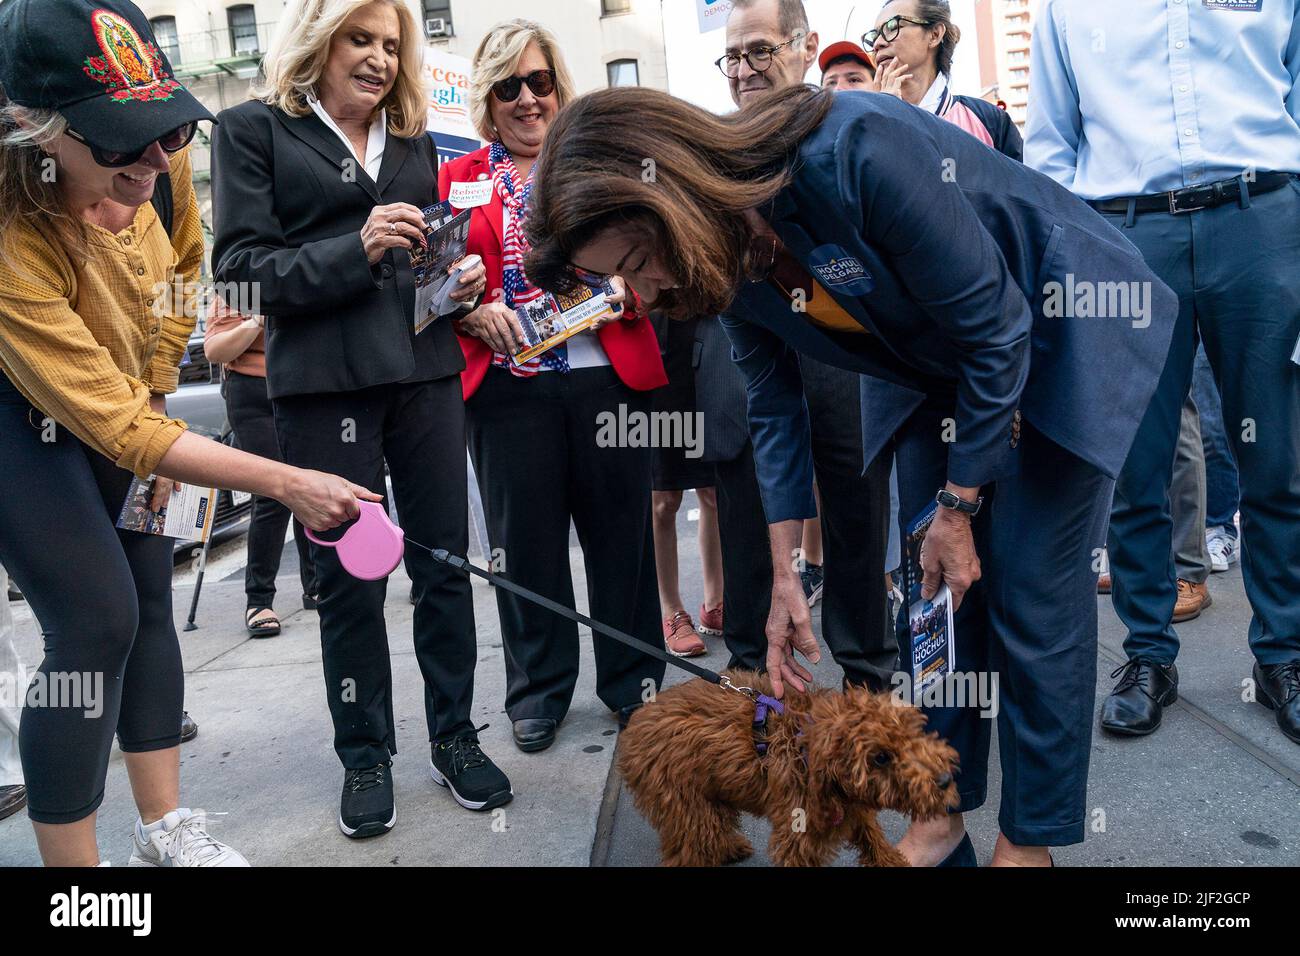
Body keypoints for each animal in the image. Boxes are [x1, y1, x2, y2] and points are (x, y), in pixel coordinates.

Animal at [613, 671, 961, 868]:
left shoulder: (853, 810)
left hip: (709, 796)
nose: (945, 780)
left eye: (913, 732)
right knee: (689, 849)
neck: (805, 746)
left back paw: (731, 848)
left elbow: (874, 840)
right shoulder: (798, 837)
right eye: (881, 757)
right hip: (687, 806)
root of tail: (634, 724)